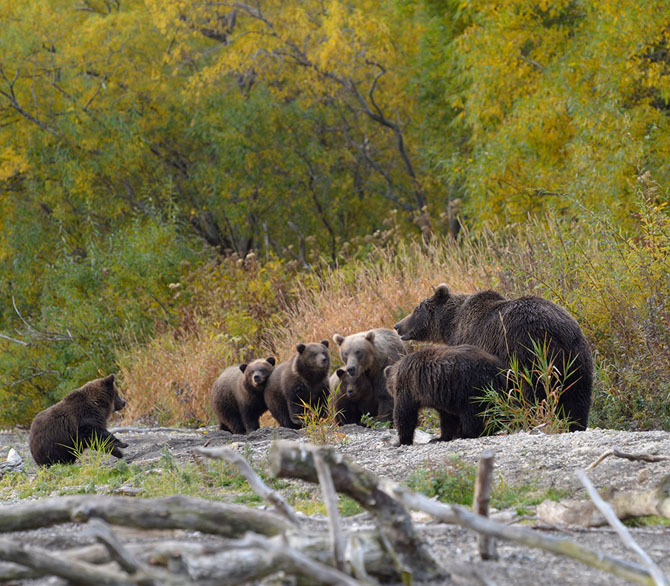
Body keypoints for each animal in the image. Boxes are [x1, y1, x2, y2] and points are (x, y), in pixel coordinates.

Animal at [396, 282, 596, 428]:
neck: (451, 324)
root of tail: (556, 332)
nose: (397, 325)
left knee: (533, 394)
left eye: (416, 309)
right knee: (578, 400)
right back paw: (575, 425)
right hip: (577, 358)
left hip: (528, 353)